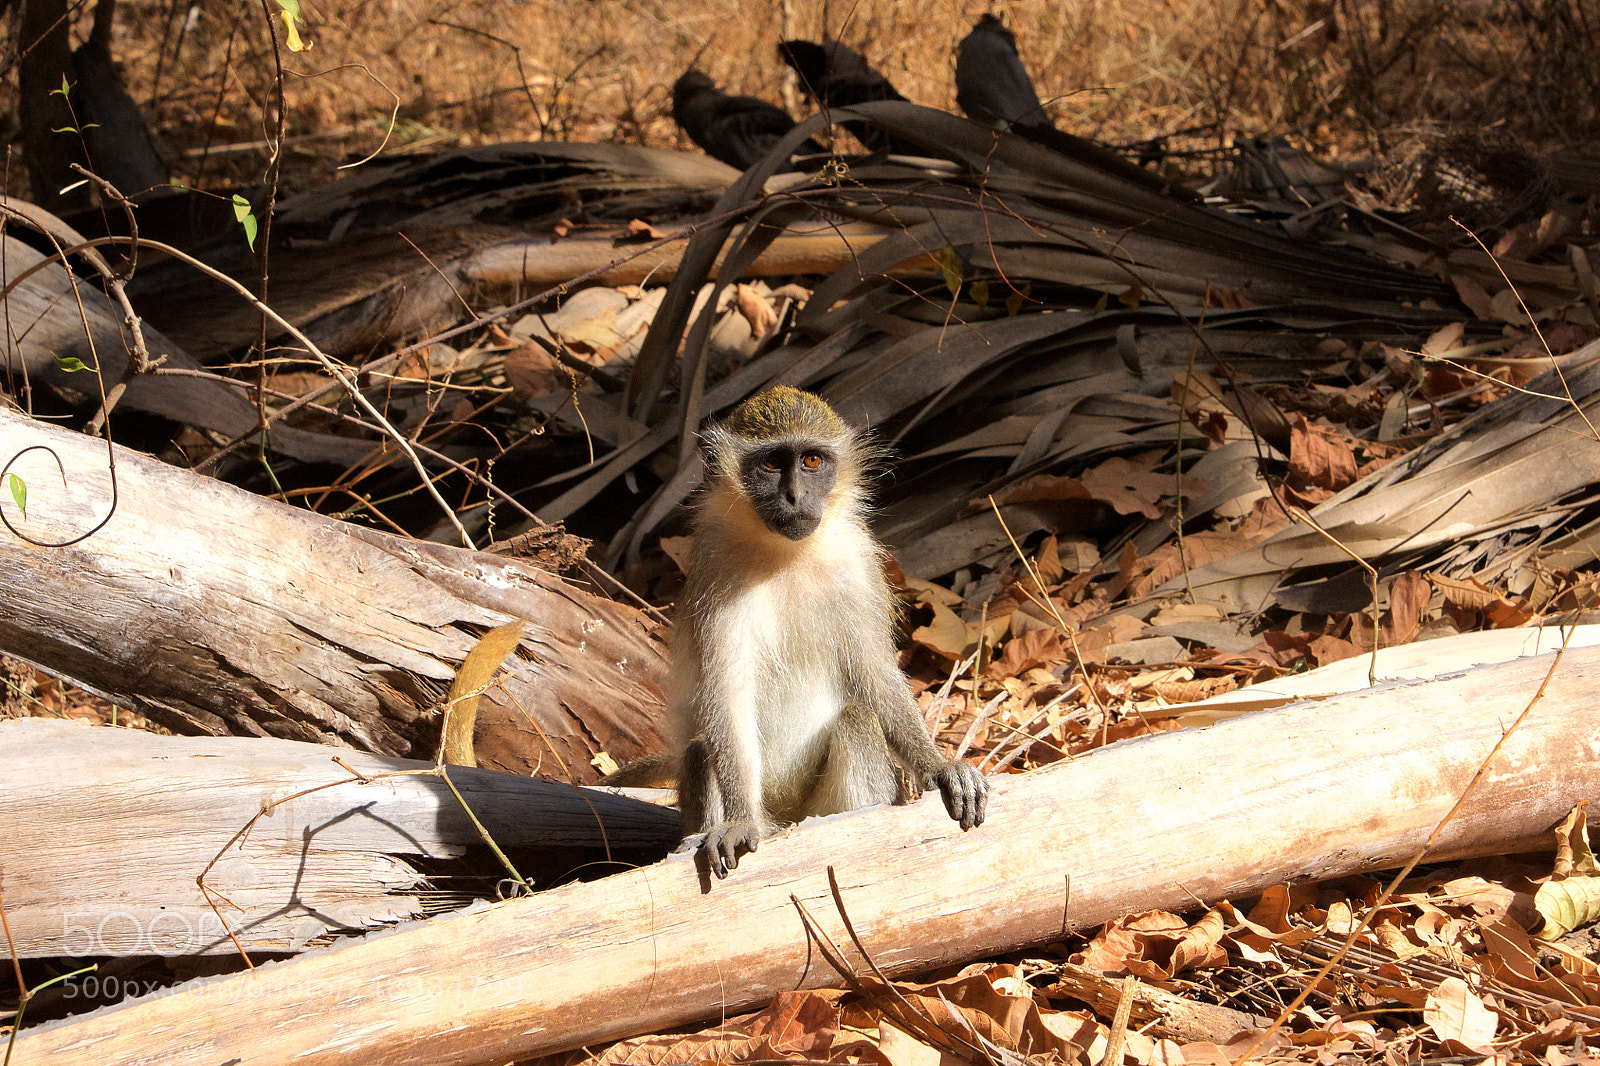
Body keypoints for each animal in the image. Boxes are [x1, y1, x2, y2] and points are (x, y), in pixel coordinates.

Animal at [637, 385, 987, 878]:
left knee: (858, 719)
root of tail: (786, 815)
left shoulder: (859, 568)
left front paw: (939, 767)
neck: (785, 556)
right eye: (771, 463)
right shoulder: (712, 575)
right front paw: (739, 821)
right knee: (703, 748)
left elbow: (876, 673)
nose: (794, 497)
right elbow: (726, 693)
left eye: (812, 461)